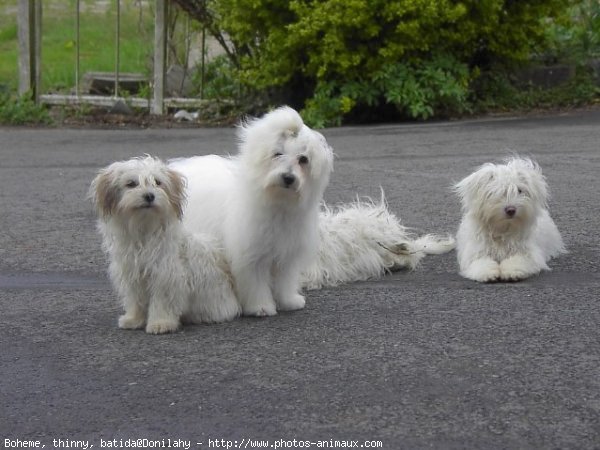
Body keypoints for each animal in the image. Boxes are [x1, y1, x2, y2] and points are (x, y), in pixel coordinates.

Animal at [89, 156, 239, 334]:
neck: (144, 230)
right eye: (131, 183)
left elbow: (162, 302)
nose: (149, 196)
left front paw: (161, 323)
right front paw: (133, 319)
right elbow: (135, 300)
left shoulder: (165, 275)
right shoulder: (132, 275)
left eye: (158, 182)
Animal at [172, 106, 454, 316]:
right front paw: (261, 307)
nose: (288, 177)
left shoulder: (287, 253)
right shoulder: (251, 255)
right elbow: (255, 283)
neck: (278, 204)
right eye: (277, 154)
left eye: (303, 160)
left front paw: (289, 301)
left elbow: (285, 280)